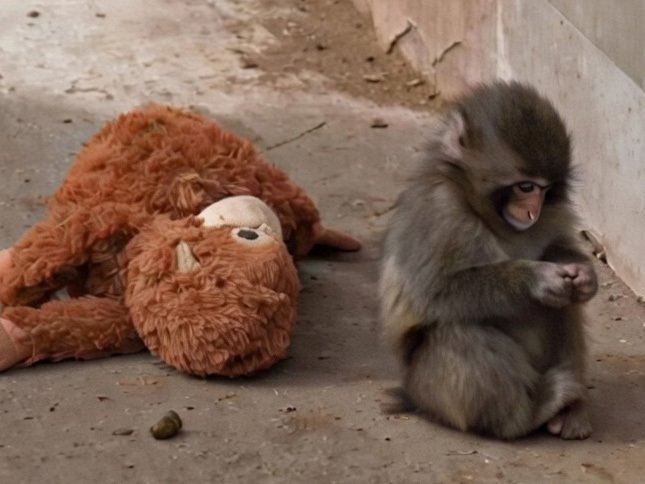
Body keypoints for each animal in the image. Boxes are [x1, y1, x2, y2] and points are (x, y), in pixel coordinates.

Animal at [379, 81, 598, 440]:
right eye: (526, 187)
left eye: (546, 190)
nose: (533, 211)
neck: (485, 214)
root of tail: (414, 395)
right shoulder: (438, 212)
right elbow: (433, 292)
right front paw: (537, 280)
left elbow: (559, 247)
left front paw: (585, 276)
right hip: (432, 389)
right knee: (458, 331)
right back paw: (529, 413)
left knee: (565, 304)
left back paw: (571, 412)